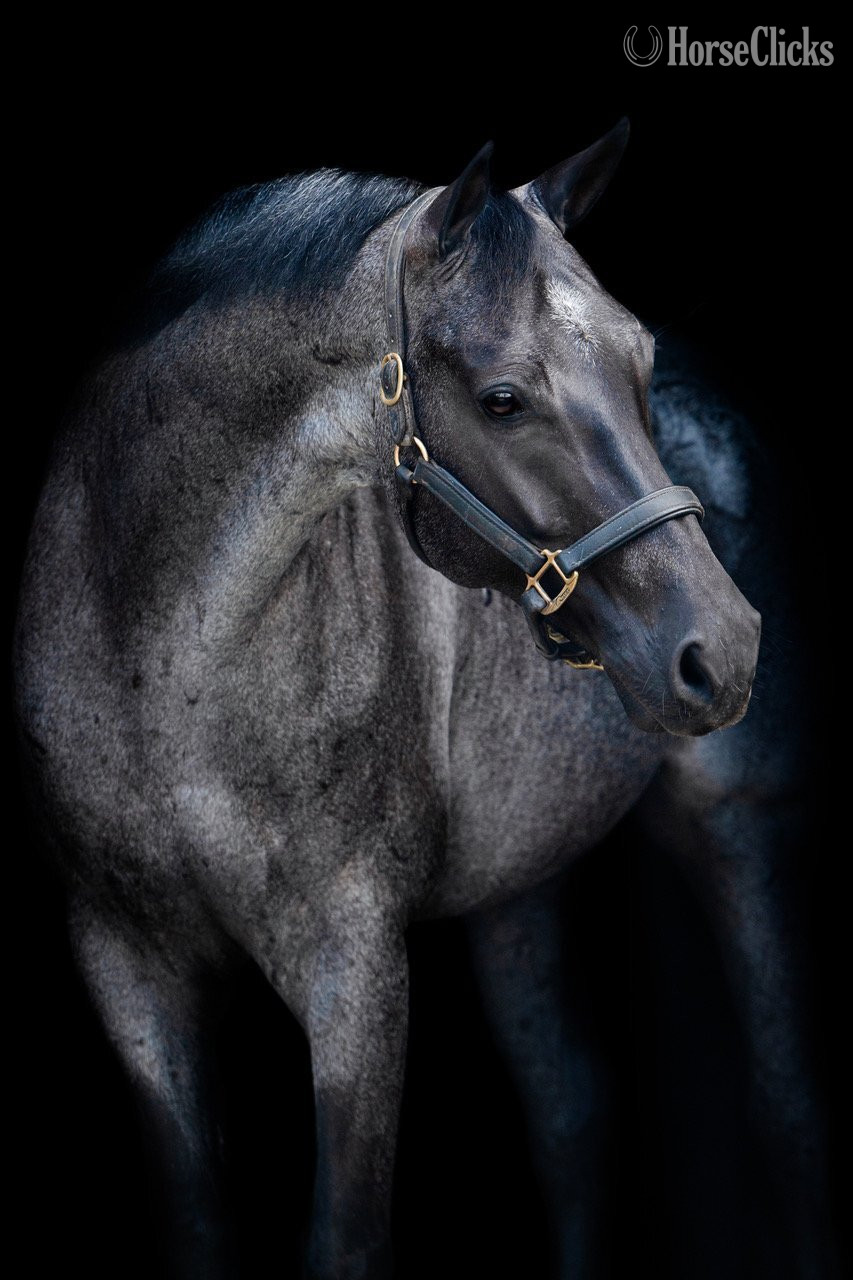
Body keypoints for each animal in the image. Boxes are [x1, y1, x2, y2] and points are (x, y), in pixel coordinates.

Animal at [13, 120, 828, 1278]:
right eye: (501, 398)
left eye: (638, 359)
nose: (720, 647)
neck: (166, 664)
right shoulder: (126, 962)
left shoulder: (353, 969)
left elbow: (345, 1238)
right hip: (517, 879)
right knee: (571, 1112)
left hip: (741, 830)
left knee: (783, 1117)